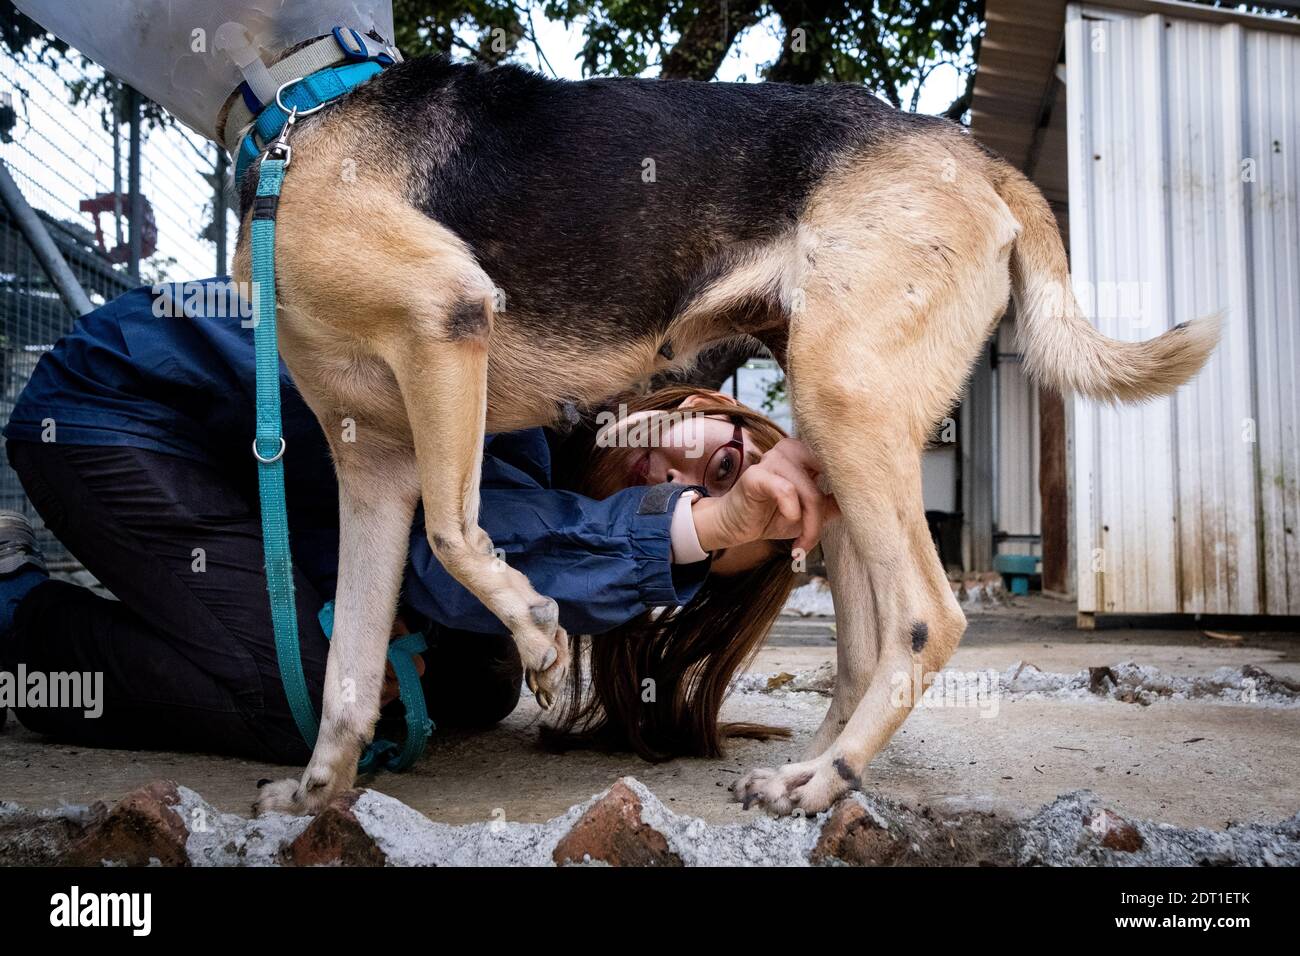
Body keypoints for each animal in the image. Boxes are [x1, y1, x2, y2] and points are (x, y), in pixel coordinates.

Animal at [233, 54, 1216, 816]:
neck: (301, 120)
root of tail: (967, 148)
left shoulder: (448, 325)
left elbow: (455, 531)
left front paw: (538, 636)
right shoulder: (373, 463)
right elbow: (351, 661)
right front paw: (319, 791)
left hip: (844, 400)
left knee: (925, 620)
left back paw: (826, 781)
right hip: (838, 444)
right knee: (863, 649)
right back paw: (815, 767)